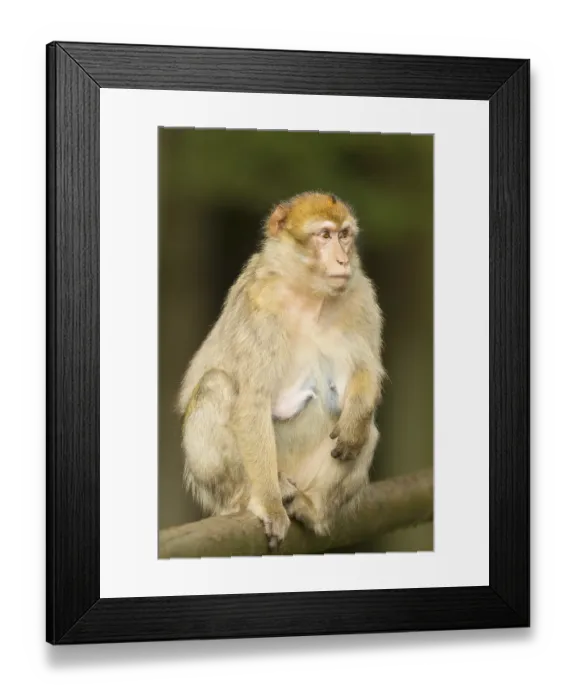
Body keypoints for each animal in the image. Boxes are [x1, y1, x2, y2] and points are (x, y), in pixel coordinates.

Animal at [178, 191, 386, 550]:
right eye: (324, 235)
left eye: (344, 235)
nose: (342, 261)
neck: (311, 296)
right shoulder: (260, 305)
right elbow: (252, 401)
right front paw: (269, 507)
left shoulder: (361, 296)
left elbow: (367, 369)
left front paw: (355, 418)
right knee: (216, 385)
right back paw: (257, 494)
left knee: (366, 431)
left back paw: (312, 507)